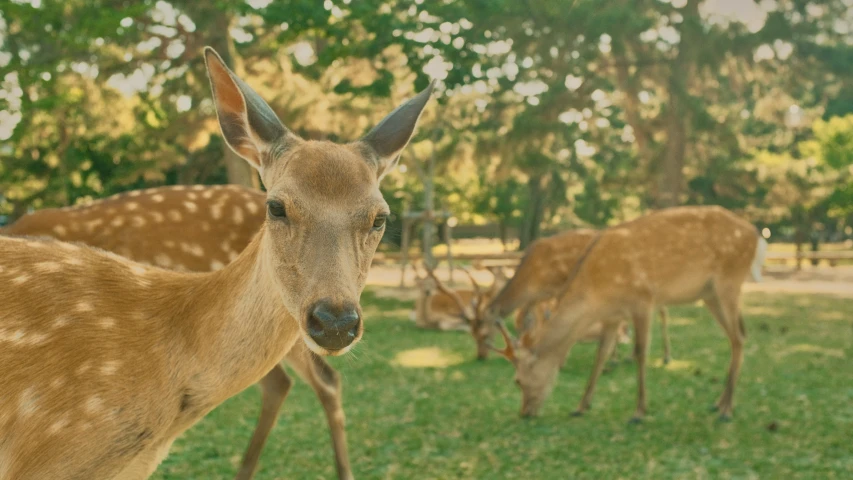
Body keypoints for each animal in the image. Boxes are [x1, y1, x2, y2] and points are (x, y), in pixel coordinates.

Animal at [482, 204, 768, 422]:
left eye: (518, 380)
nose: (524, 412)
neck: (597, 289)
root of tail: (756, 235)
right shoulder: (613, 314)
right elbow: (600, 355)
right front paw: (581, 406)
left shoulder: (643, 299)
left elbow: (640, 353)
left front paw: (639, 411)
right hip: (710, 295)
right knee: (737, 336)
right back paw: (718, 403)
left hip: (729, 281)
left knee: (739, 337)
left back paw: (727, 409)